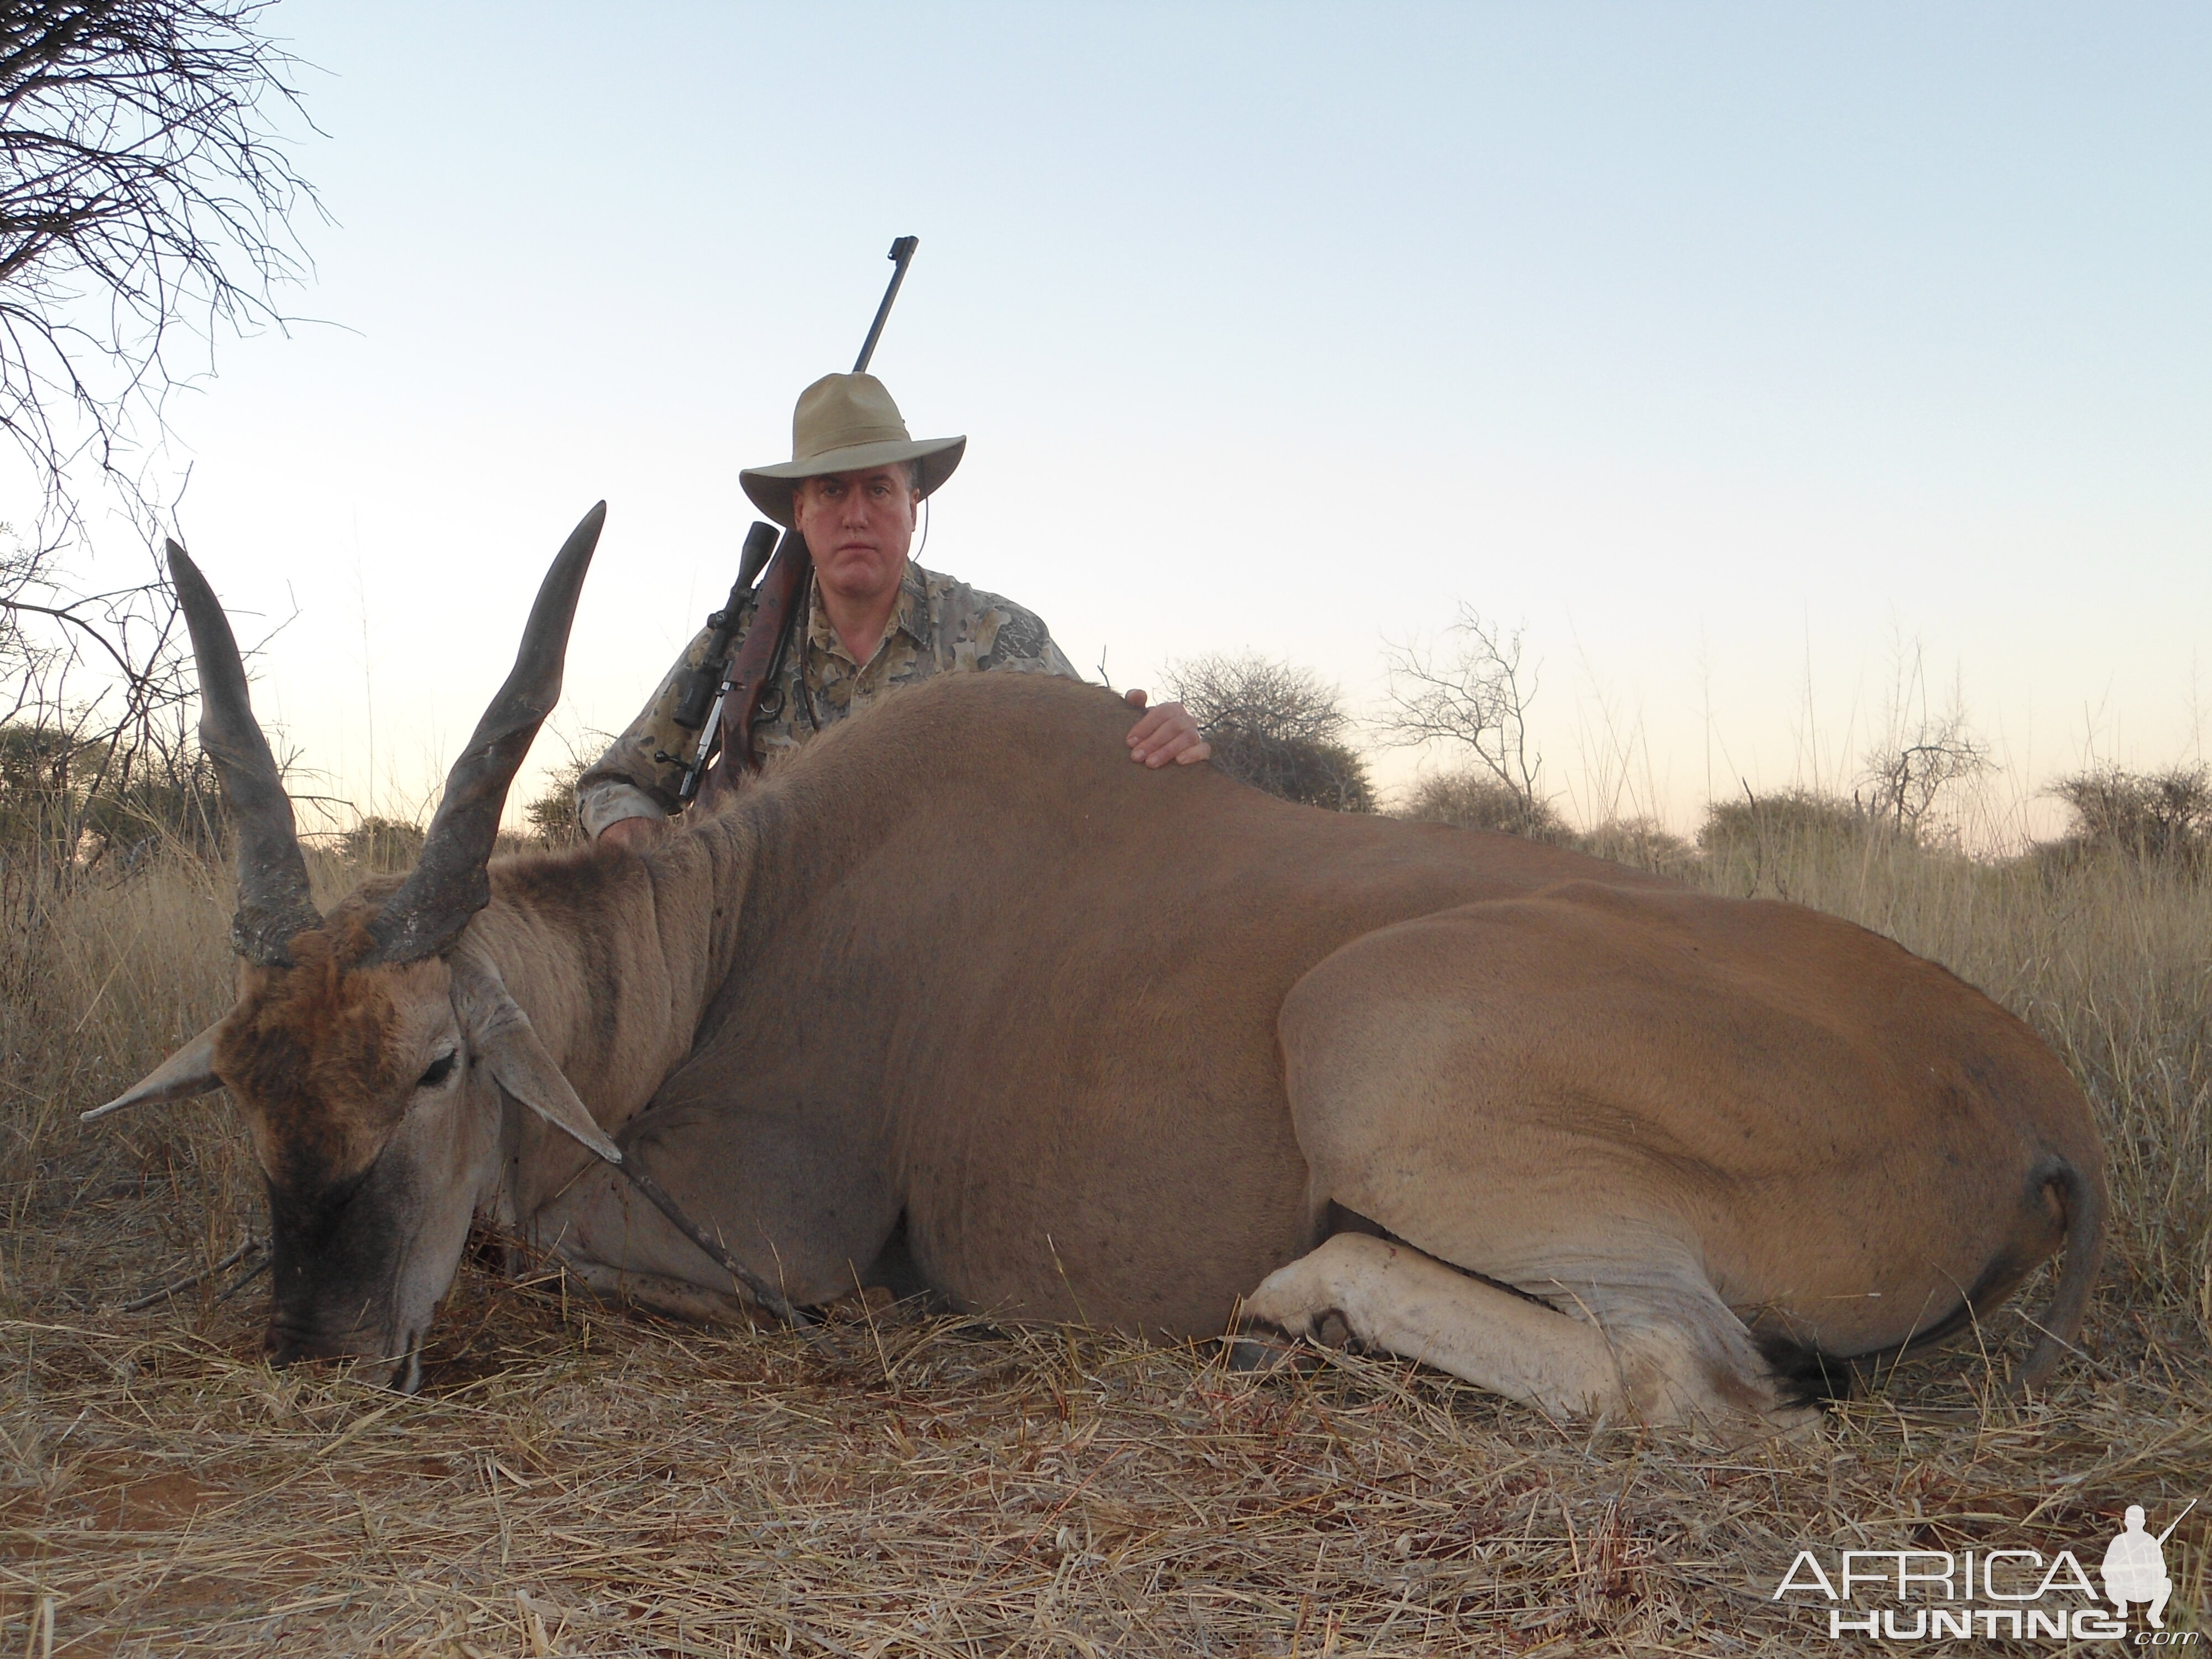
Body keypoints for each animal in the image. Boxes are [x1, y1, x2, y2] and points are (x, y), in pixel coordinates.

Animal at [95, 507, 2106, 1433]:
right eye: (253, 1084)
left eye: (437, 1065)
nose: (314, 1355)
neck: (731, 923)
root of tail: (2034, 1098)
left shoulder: (773, 1249)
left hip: (1371, 1044)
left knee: (1677, 1376)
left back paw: (1294, 1311)